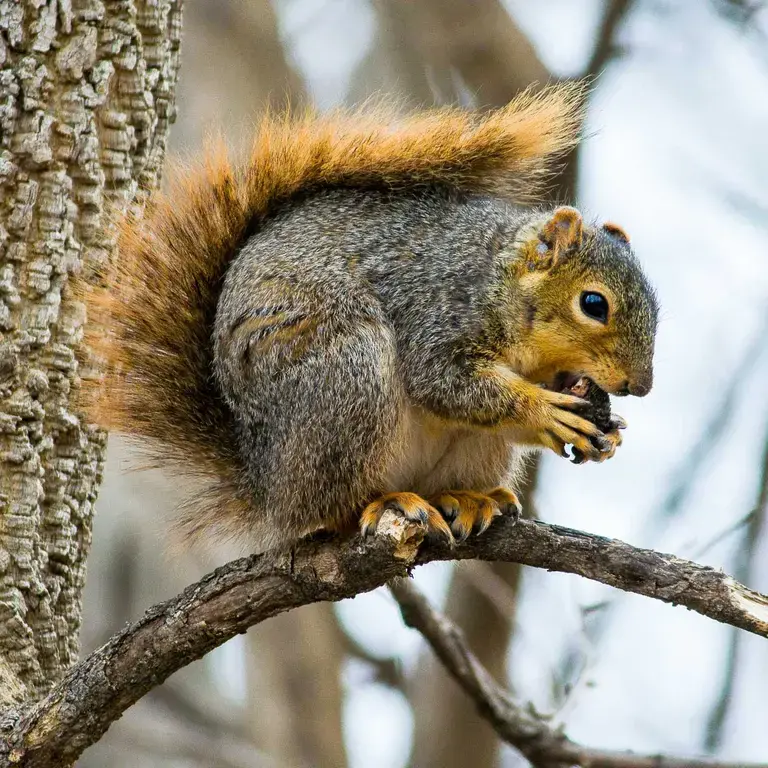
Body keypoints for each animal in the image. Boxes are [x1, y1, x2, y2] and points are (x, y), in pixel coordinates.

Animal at [83, 81, 658, 550]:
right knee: (332, 508)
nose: (641, 386)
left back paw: (467, 498)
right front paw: (544, 410)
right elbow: (446, 383)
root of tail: (268, 485)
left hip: (471, 448)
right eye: (593, 304)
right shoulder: (437, 307)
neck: (502, 283)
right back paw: (384, 503)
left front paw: (607, 431)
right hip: (349, 377)